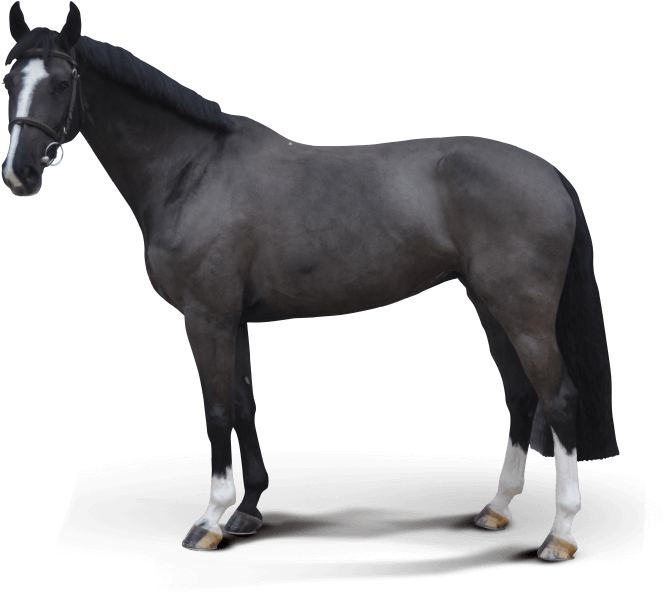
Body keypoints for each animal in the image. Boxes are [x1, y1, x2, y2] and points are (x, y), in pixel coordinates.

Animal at [3, 2, 618, 559]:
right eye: (10, 79)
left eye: (61, 82)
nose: (19, 174)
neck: (193, 172)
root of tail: (549, 173)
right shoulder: (235, 319)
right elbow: (244, 404)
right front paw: (249, 511)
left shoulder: (206, 317)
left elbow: (216, 409)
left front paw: (209, 520)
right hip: (491, 307)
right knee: (520, 395)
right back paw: (498, 508)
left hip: (524, 314)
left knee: (558, 399)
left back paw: (559, 533)